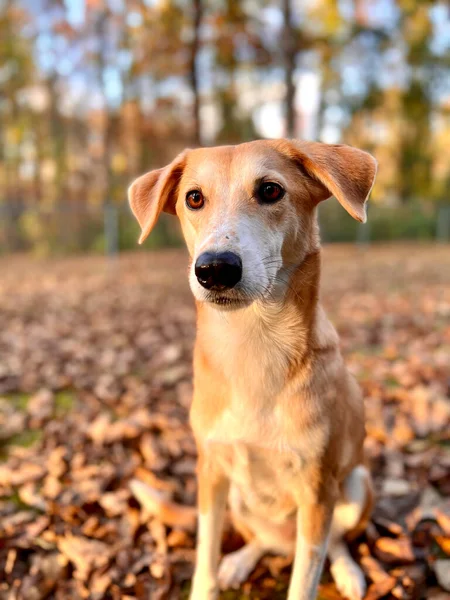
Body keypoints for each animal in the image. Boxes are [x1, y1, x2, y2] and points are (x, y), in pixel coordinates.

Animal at [128, 141, 378, 600]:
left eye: (270, 190)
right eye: (194, 198)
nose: (214, 269)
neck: (253, 344)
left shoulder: (317, 490)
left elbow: (305, 579)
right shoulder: (210, 472)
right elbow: (205, 557)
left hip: (355, 484)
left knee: (333, 543)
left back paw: (348, 571)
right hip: (241, 499)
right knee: (261, 540)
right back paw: (241, 561)